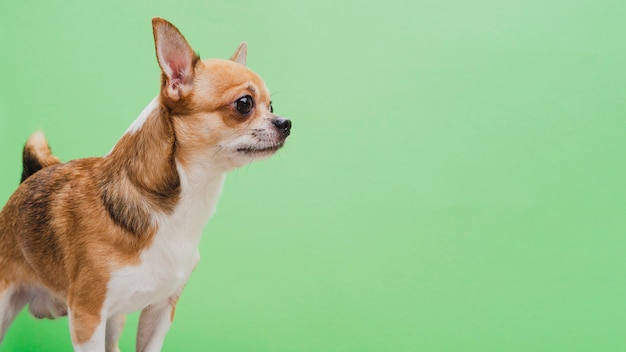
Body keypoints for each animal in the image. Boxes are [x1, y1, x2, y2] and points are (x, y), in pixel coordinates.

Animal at [0, 17, 288, 350]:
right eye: (244, 104)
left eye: (271, 105)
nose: (286, 123)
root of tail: (28, 179)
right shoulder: (87, 317)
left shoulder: (160, 310)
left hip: (115, 320)